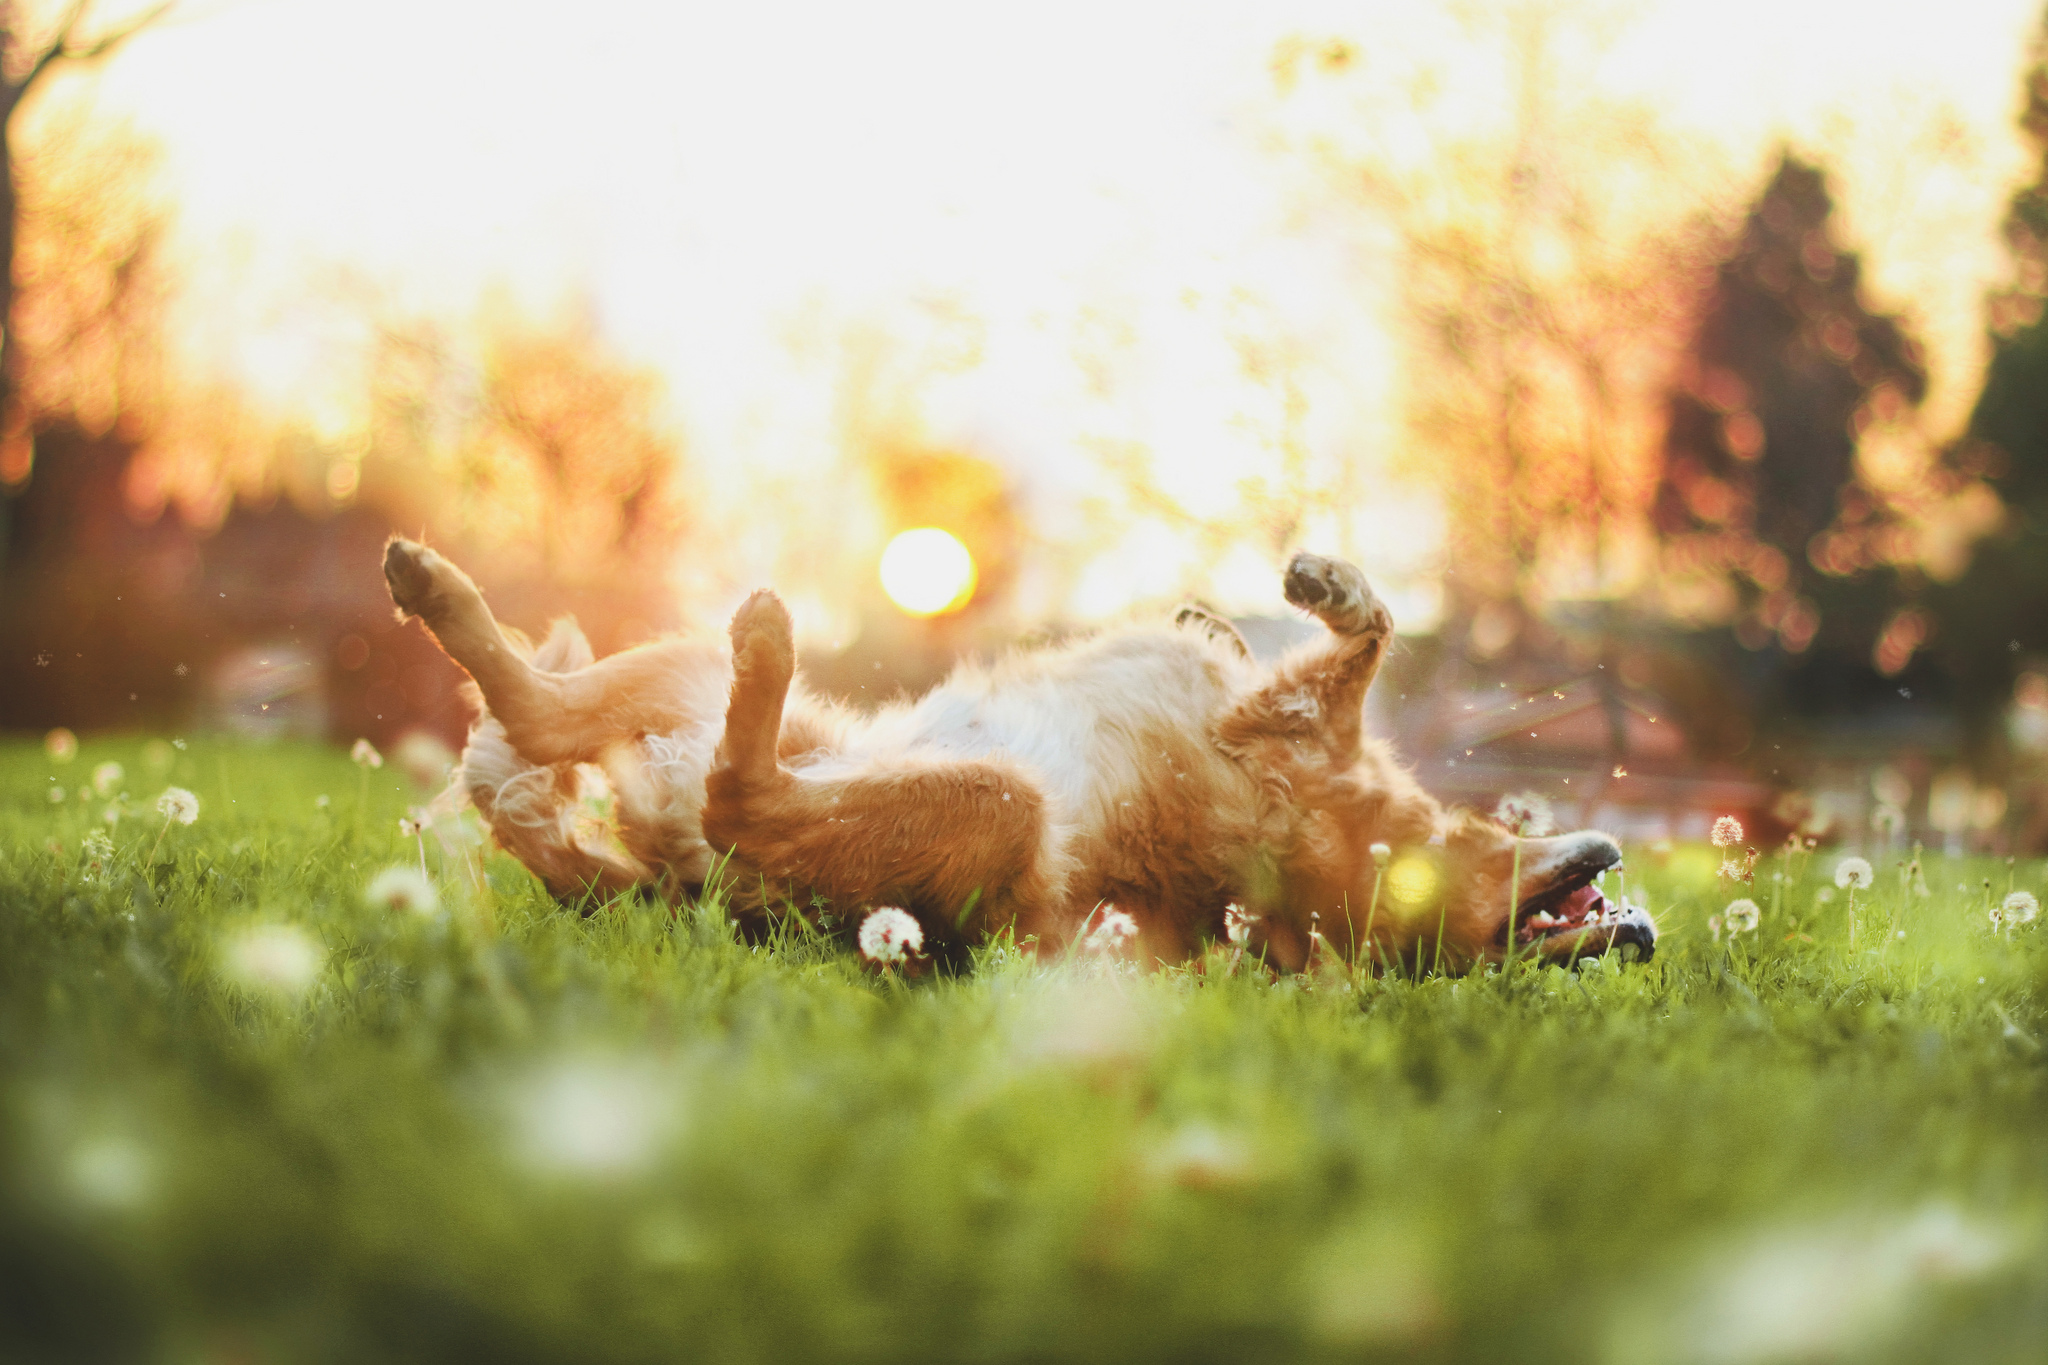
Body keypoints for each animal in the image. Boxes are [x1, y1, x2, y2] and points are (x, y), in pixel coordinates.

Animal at [385, 532, 1654, 970]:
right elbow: (1324, 632)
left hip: (995, 801)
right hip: (687, 687)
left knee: (725, 789)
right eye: (1553, 943)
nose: (1638, 933)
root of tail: (688, 892)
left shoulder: (1290, 721)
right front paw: (1225, 615)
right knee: (545, 718)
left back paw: (761, 644)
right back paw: (439, 596)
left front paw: (1322, 586)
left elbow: (1371, 627)